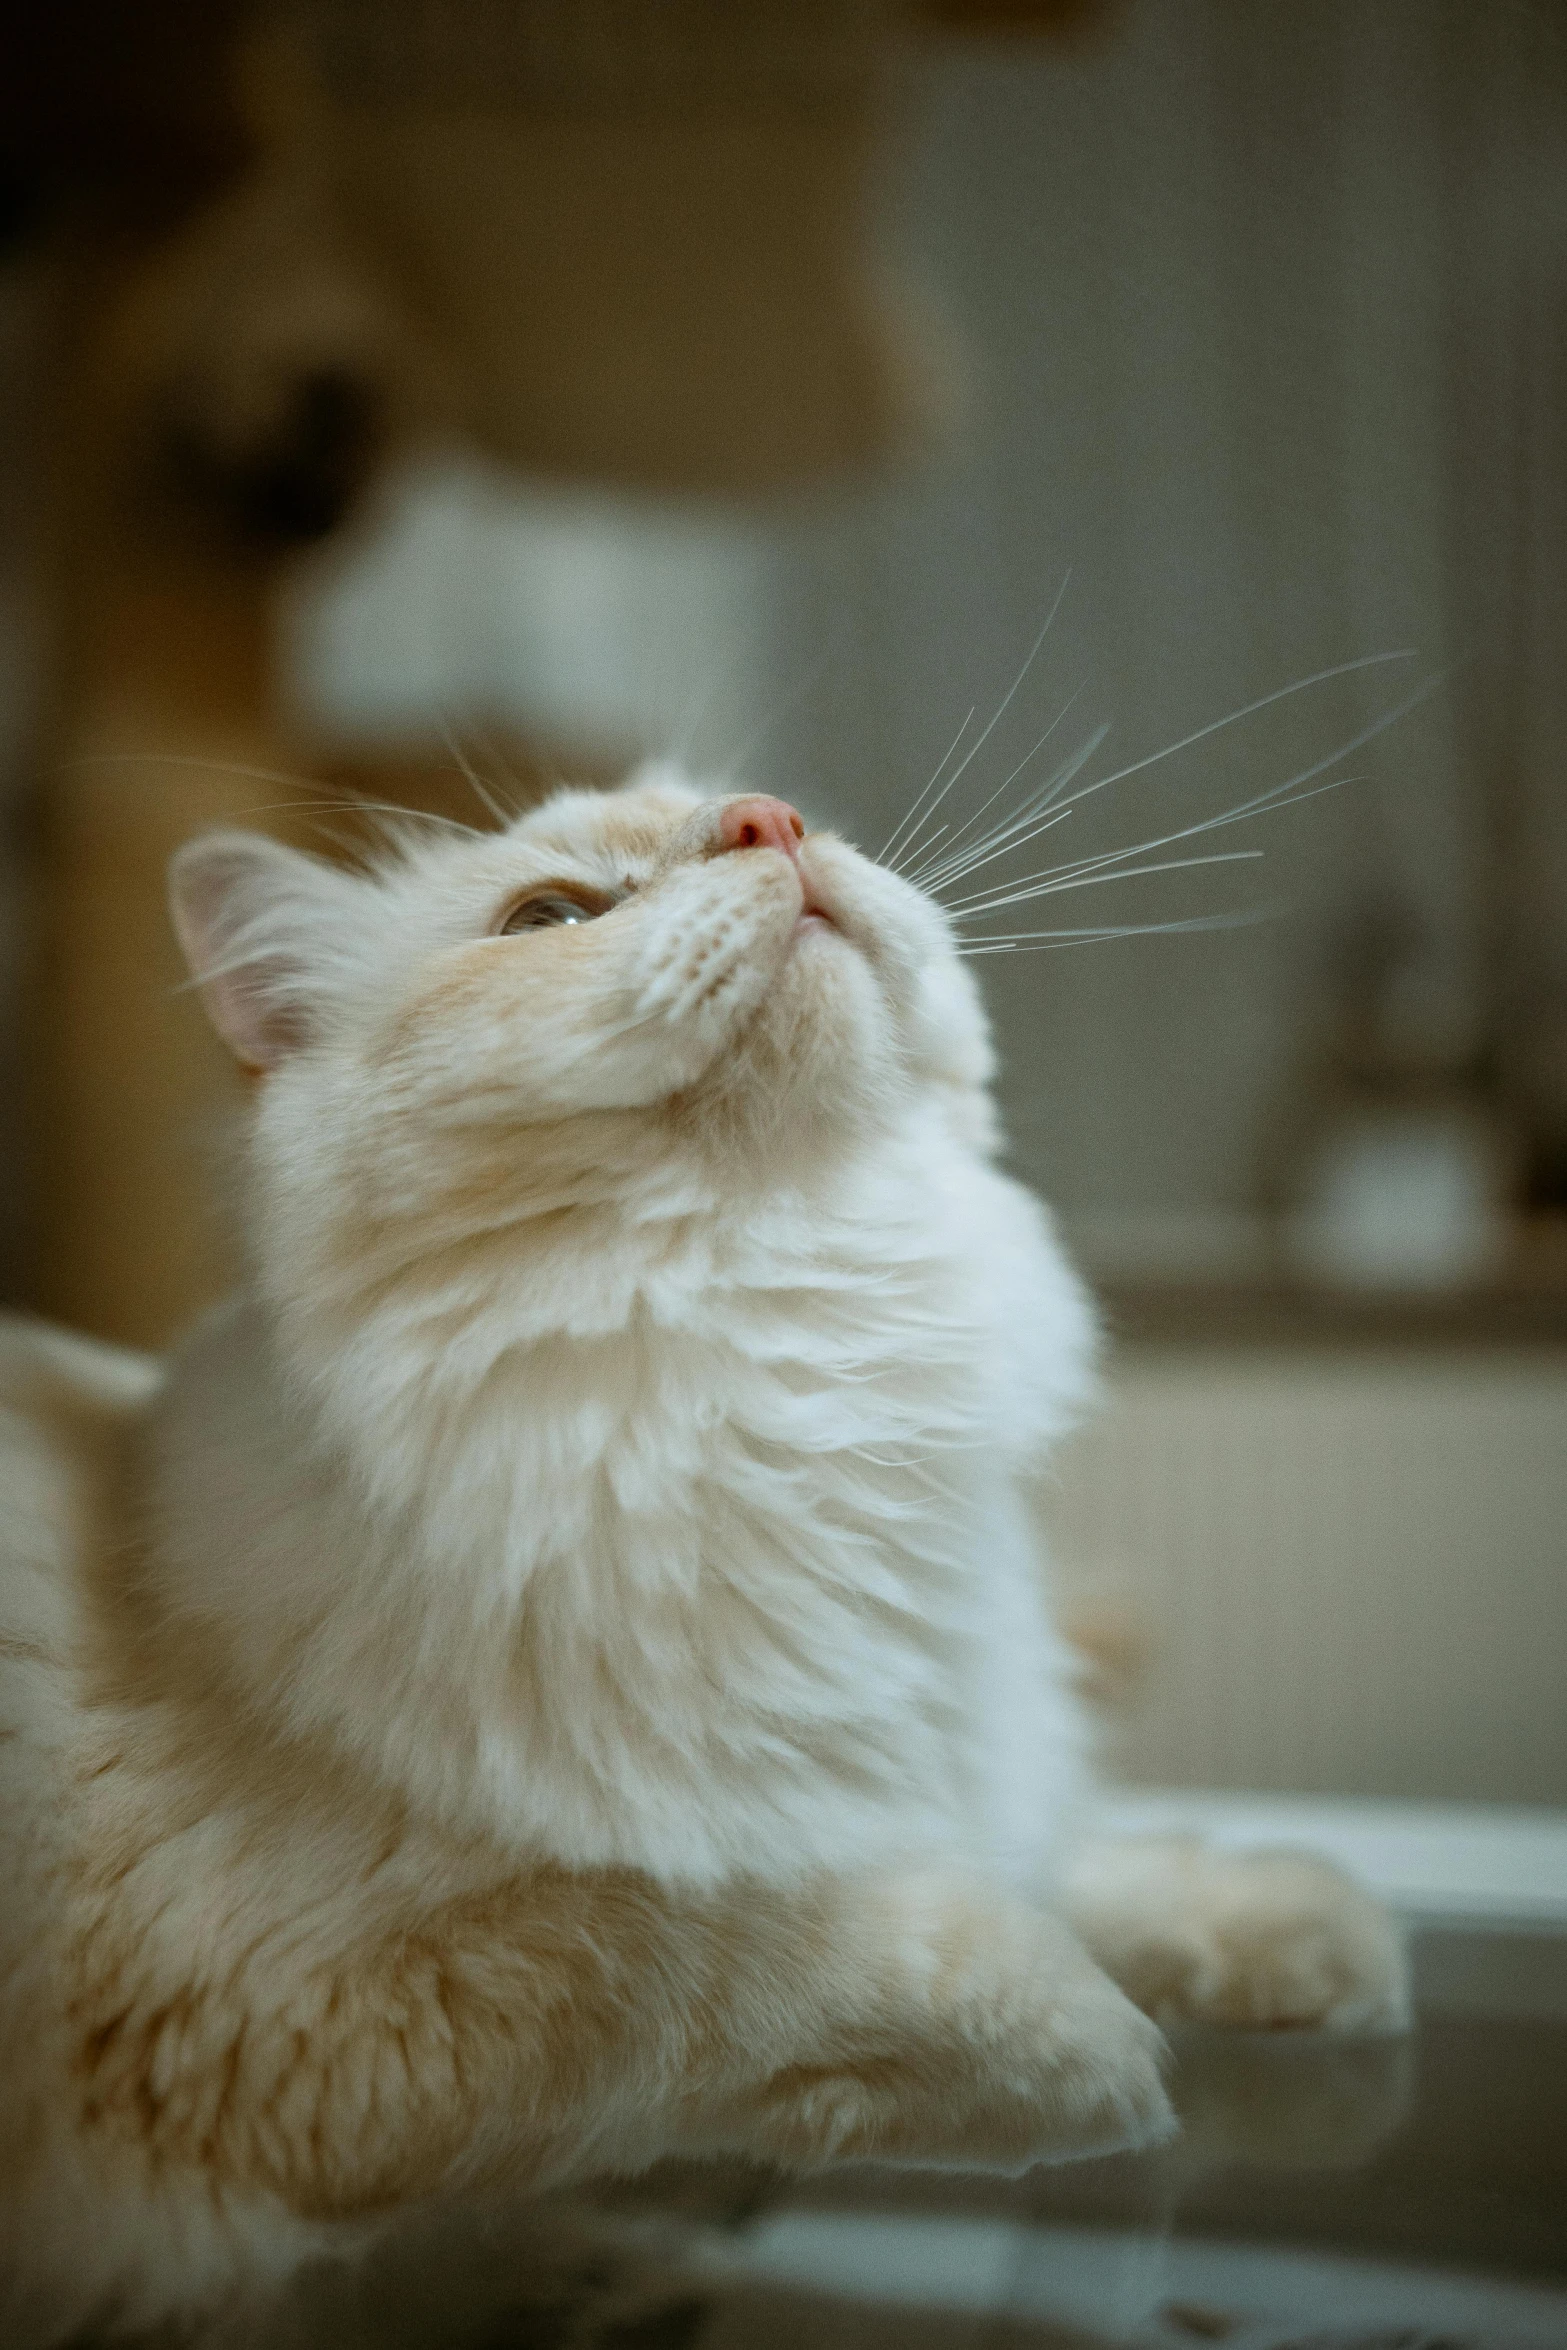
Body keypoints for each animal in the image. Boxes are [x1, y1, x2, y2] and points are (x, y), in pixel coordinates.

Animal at [0, 766, 1400, 2331]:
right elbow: (741, 1954)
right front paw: (1089, 2044)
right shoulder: (341, 2008)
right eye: (546, 920)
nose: (764, 819)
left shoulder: (927, 1776)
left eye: (784, 814)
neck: (800, 1388)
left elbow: (1069, 1853)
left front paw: (1299, 1930)